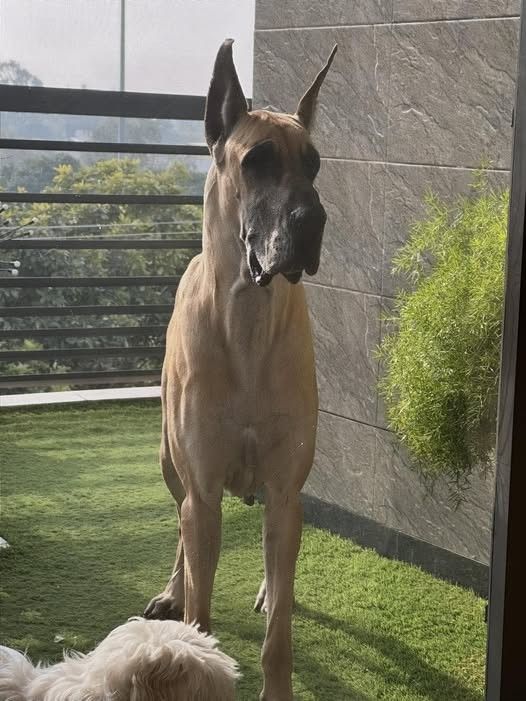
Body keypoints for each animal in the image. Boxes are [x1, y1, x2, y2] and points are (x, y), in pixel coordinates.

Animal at [144, 39, 336, 700]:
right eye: (256, 161)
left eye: (315, 165)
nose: (313, 222)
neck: (249, 321)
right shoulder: (202, 492)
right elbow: (200, 601)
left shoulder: (284, 491)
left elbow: (279, 637)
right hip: (169, 462)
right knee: (181, 531)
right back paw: (172, 593)